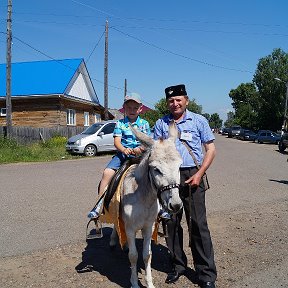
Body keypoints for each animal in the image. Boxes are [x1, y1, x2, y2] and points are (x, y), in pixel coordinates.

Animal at [110, 123, 182, 288]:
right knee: (116, 225)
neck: (143, 199)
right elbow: (133, 256)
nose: (175, 205)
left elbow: (147, 255)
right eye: (156, 169)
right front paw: (134, 283)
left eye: (179, 166)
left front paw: (149, 283)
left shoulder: (148, 227)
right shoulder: (130, 229)